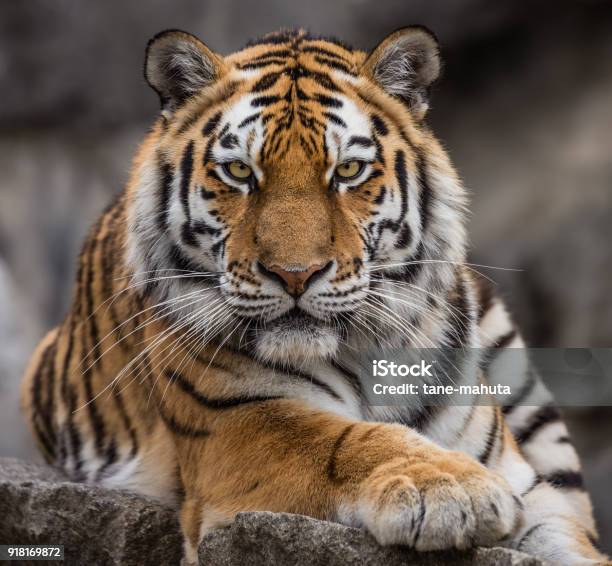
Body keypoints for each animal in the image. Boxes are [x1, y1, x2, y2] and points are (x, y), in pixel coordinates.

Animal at [19, 25, 608, 564]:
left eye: (347, 170)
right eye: (240, 172)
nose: (295, 274)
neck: (372, 355)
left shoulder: (536, 493)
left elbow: (574, 545)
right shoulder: (236, 423)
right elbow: (344, 440)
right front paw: (451, 488)